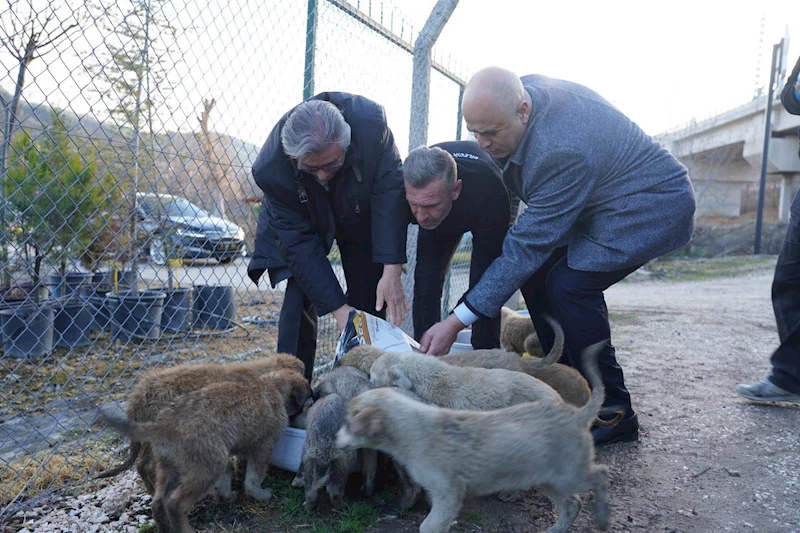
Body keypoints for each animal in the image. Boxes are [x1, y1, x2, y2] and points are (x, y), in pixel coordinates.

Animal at [99, 368, 310, 532]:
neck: (271, 386)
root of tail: (162, 426)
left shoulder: (232, 451)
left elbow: (228, 477)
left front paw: (229, 495)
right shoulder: (263, 447)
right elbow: (253, 479)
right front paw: (261, 494)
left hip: (171, 467)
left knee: (158, 502)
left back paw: (166, 528)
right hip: (206, 467)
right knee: (175, 503)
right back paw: (186, 529)